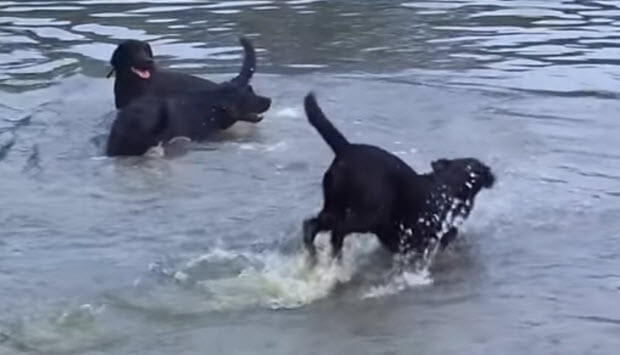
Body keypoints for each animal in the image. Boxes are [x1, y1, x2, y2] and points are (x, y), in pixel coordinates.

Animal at [300, 94, 494, 262]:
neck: (451, 184)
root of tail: (347, 149)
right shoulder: (438, 237)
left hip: (334, 207)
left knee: (312, 225)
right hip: (369, 215)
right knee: (338, 231)